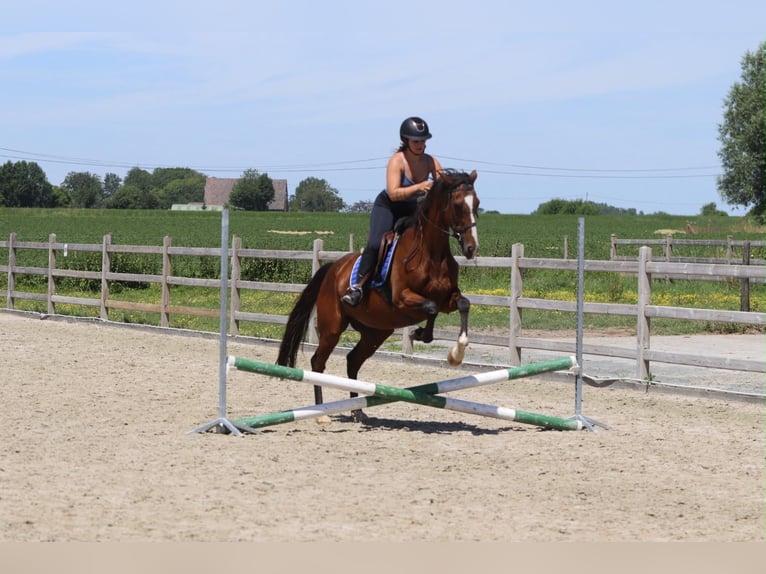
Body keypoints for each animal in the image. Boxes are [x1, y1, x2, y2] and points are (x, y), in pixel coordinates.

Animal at [276, 169, 480, 421]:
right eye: (458, 205)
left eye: (477, 204)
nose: (472, 249)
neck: (431, 254)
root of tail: (333, 269)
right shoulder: (402, 299)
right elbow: (431, 308)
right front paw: (419, 333)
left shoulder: (448, 299)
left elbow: (463, 304)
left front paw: (455, 354)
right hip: (332, 328)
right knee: (318, 362)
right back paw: (322, 413)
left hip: (375, 332)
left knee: (352, 360)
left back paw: (357, 411)